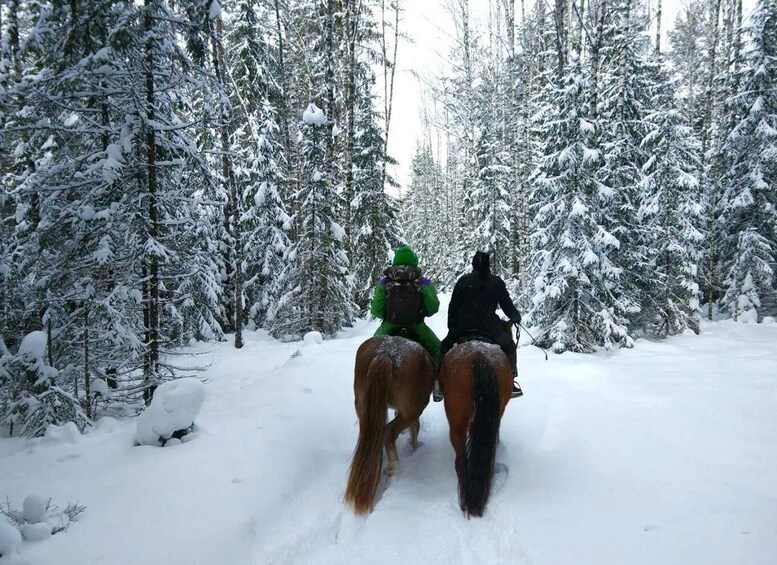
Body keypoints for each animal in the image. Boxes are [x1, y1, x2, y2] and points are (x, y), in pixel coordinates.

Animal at [346, 334, 436, 516]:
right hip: (412, 410)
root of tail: (384, 354)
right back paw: (393, 468)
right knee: (388, 432)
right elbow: (415, 429)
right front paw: (415, 447)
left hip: (364, 409)